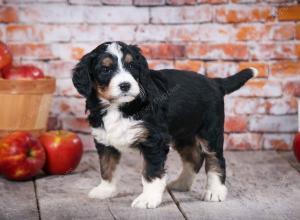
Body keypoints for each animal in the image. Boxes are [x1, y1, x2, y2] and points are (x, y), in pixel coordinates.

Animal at [71, 40, 256, 208]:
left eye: (131, 66)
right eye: (105, 69)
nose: (125, 85)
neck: (118, 107)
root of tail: (215, 82)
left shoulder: (154, 141)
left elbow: (151, 172)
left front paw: (148, 199)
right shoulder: (105, 140)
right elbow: (107, 167)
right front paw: (105, 190)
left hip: (210, 131)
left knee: (215, 159)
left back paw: (215, 191)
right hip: (183, 133)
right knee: (194, 157)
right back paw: (182, 183)